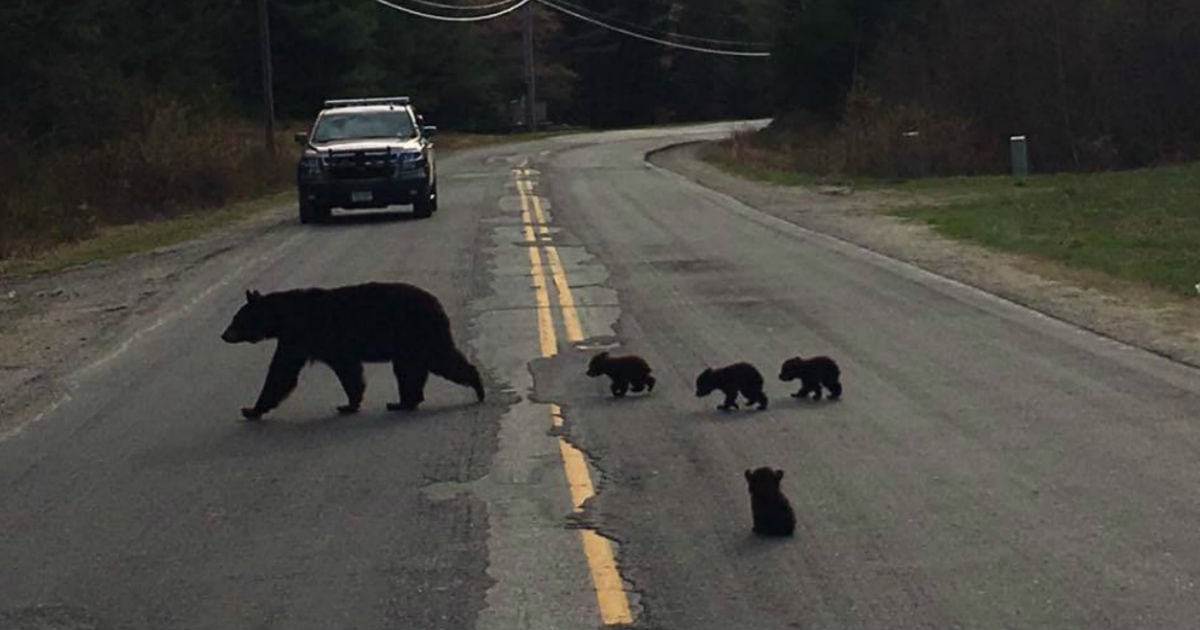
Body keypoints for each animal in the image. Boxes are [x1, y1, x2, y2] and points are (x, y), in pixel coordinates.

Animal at [220, 282, 484, 419]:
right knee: (410, 370)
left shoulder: (301, 336)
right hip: (410, 344)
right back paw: (404, 402)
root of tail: (437, 303)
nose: (223, 335)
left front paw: (251, 409)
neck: (283, 317)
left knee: (440, 360)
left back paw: (478, 386)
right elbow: (347, 370)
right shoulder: (313, 342)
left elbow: (282, 370)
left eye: (236, 319)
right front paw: (351, 403)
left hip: (420, 333)